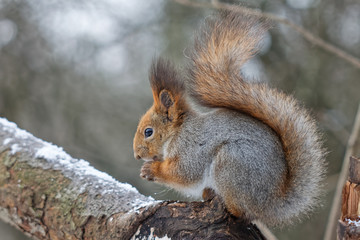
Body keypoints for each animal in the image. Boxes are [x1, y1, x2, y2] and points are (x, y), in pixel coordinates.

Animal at [133, 9, 326, 227]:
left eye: (148, 132)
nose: (137, 155)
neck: (178, 131)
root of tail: (271, 203)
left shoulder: (190, 148)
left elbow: (184, 173)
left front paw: (151, 169)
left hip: (231, 164)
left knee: (242, 212)